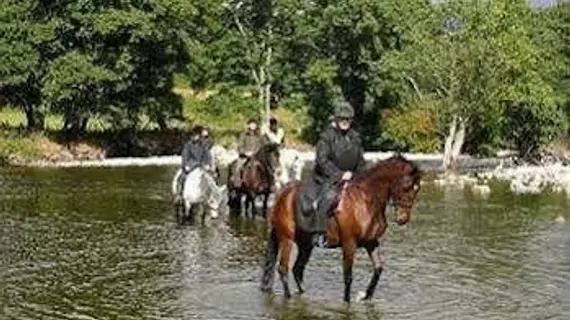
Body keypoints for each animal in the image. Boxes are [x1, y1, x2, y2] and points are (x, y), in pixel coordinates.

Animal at [260, 155, 420, 302]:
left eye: (416, 189)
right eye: (406, 186)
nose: (403, 219)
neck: (365, 200)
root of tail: (283, 195)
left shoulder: (371, 242)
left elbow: (378, 268)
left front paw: (366, 296)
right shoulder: (349, 244)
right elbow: (348, 276)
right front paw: (347, 302)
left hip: (305, 244)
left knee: (297, 269)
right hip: (286, 238)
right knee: (283, 268)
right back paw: (288, 298)